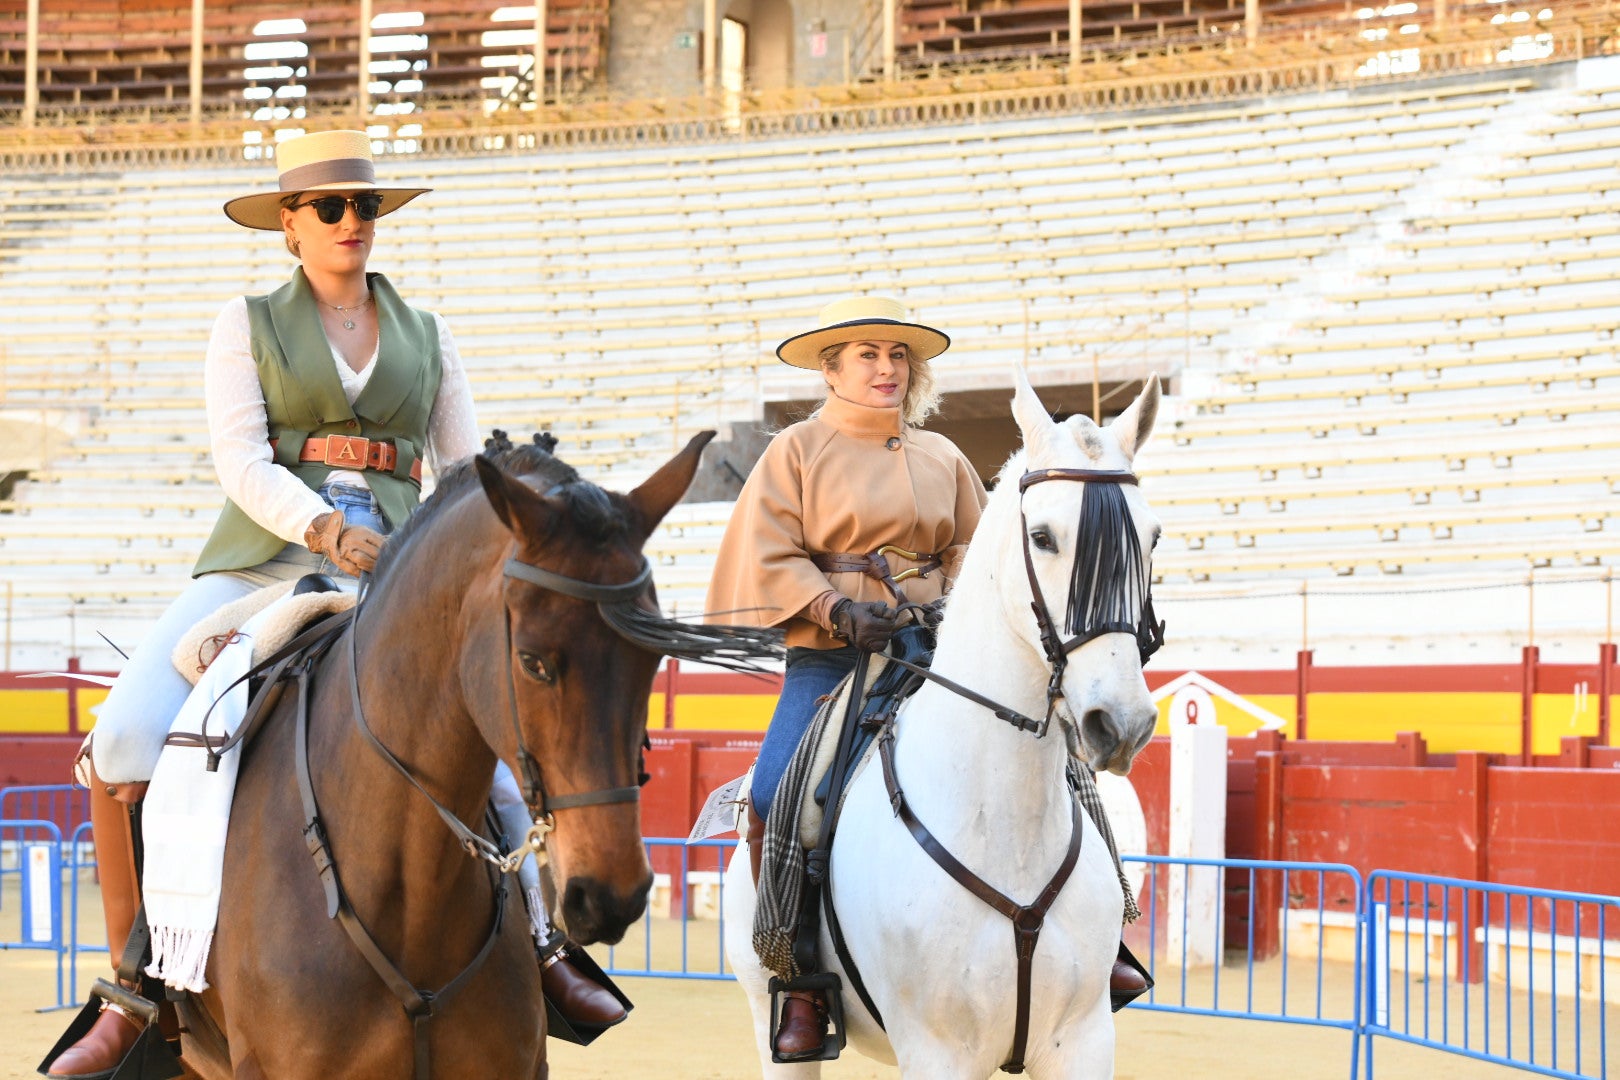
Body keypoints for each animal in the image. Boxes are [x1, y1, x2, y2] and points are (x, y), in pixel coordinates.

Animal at [725, 367, 1166, 1075]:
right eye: (1042, 536)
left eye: (1150, 537)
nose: (1120, 722)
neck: (1007, 828)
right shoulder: (938, 1052)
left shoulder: (1083, 1040)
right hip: (769, 1019)